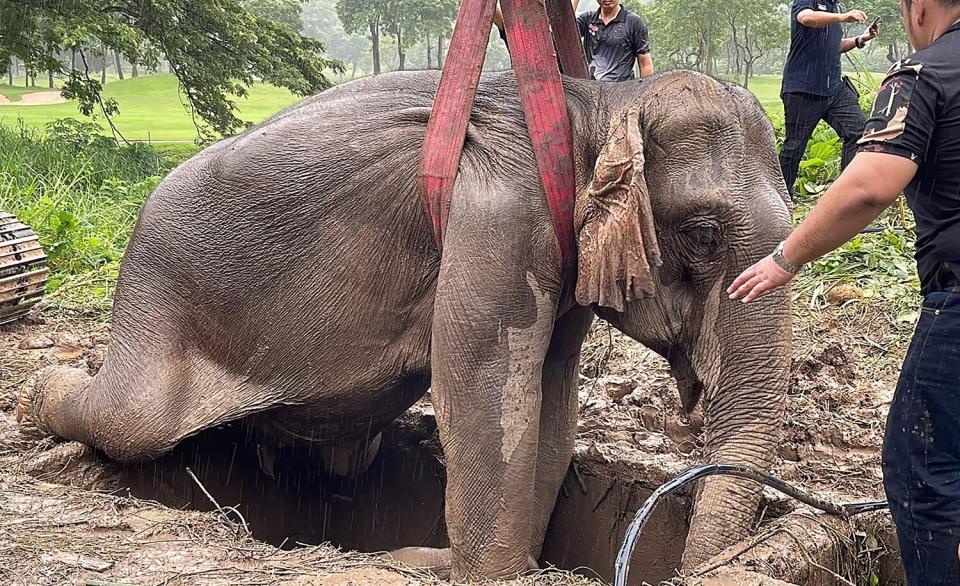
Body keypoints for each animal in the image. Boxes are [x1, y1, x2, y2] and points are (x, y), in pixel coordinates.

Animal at [16, 68, 796, 580]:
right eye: (702, 234)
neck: (598, 103)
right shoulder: (500, 218)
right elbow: (484, 390)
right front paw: (475, 569)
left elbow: (550, 394)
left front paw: (510, 563)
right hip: (159, 299)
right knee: (133, 419)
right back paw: (35, 400)